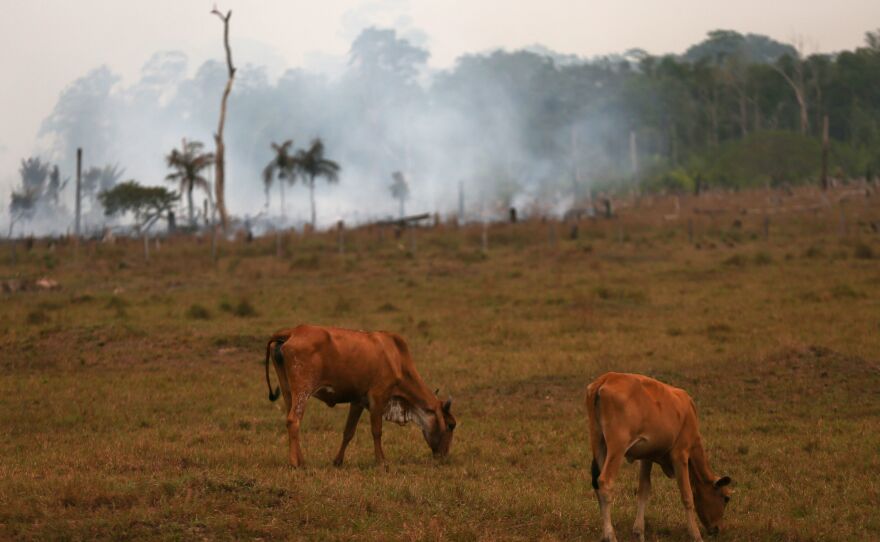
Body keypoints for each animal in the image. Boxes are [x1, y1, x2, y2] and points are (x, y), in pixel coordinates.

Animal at [264, 325, 456, 467]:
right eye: (451, 425)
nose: (444, 456)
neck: (397, 360)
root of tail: (293, 331)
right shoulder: (378, 397)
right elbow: (377, 431)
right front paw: (381, 462)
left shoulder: (358, 401)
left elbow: (348, 432)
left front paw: (338, 461)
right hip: (303, 390)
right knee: (293, 420)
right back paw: (295, 463)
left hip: (288, 391)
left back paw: (301, 460)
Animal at [586, 372, 732, 542]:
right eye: (726, 498)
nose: (719, 528)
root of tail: (607, 378)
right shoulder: (680, 454)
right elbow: (687, 495)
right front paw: (696, 535)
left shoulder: (647, 457)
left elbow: (644, 490)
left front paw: (639, 532)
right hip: (617, 447)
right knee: (605, 482)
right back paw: (610, 535)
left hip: (598, 442)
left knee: (597, 484)